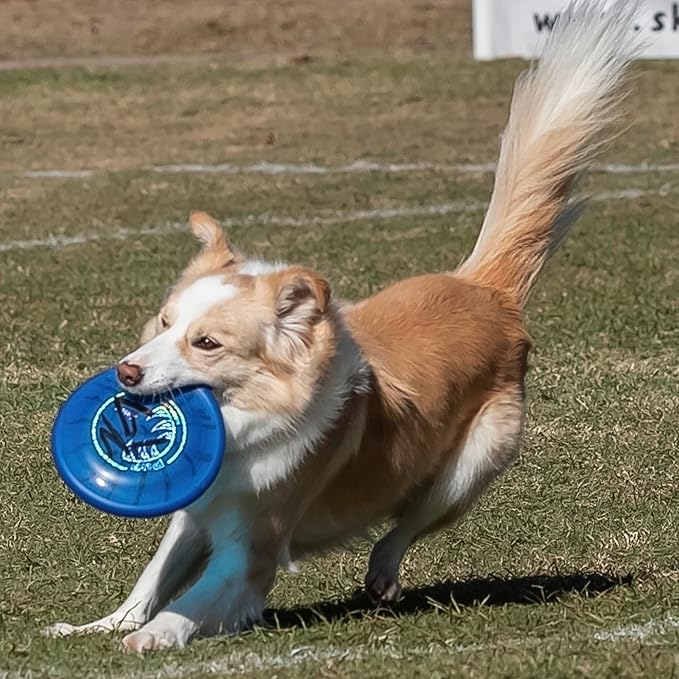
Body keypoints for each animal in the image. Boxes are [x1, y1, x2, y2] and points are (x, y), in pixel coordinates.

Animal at [46, 0, 644, 652]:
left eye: (206, 343)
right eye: (163, 321)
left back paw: (382, 569)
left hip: (475, 461)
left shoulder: (251, 551)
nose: (125, 373)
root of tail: (485, 289)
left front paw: (152, 637)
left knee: (412, 520)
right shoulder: (195, 511)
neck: (248, 423)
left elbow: (195, 600)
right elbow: (154, 576)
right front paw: (98, 626)